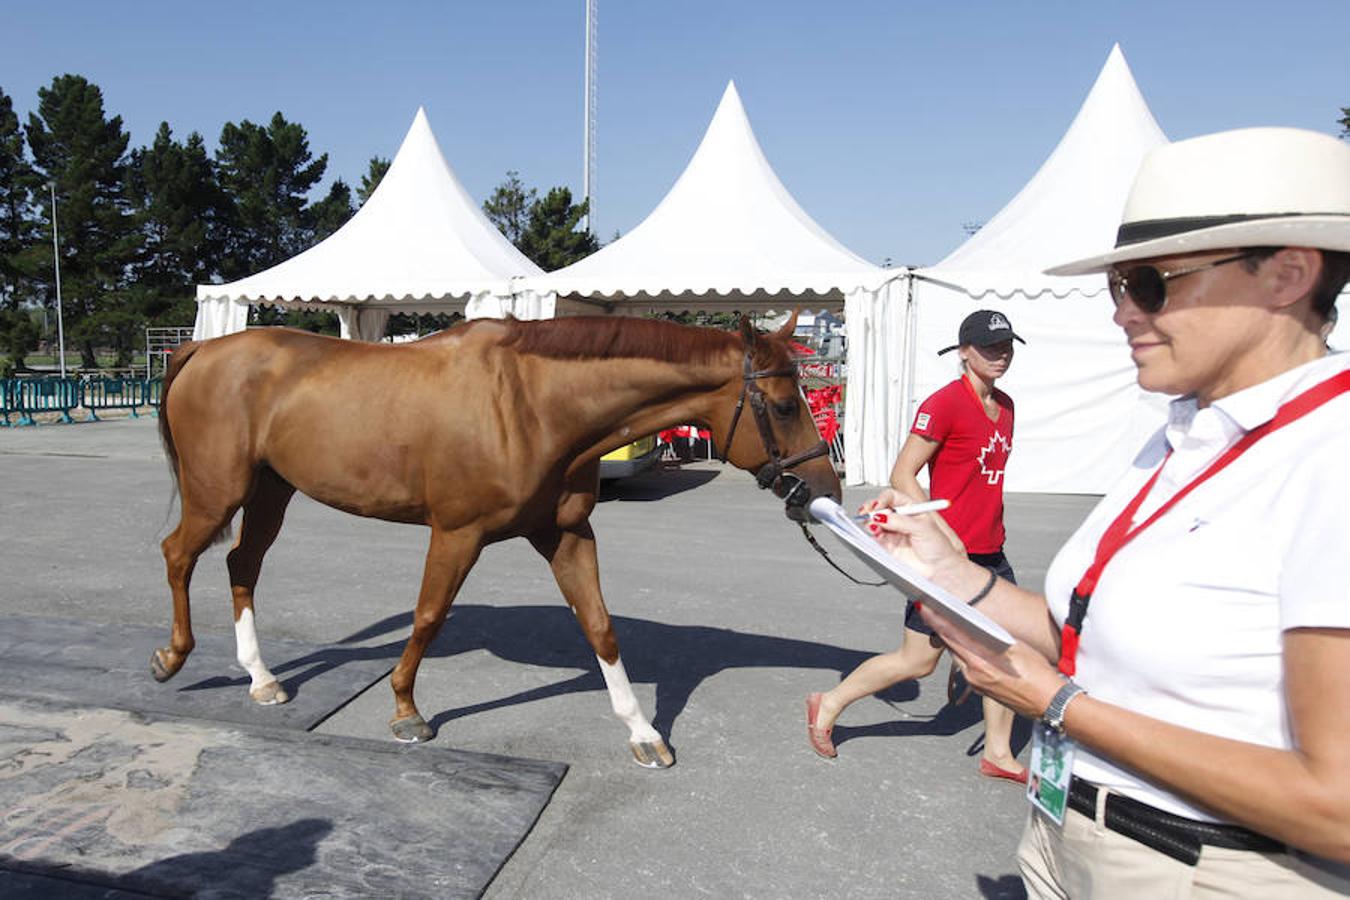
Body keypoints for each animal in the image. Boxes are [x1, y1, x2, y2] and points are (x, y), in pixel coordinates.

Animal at [153, 315, 837, 766]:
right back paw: (173, 658)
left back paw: (261, 679)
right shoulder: (458, 533)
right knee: (179, 554)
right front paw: (407, 712)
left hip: (271, 490)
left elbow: (600, 627)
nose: (821, 488)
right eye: (782, 405)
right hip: (218, 491)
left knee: (242, 564)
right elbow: (429, 615)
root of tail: (203, 348)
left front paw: (642, 731)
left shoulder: (566, 533)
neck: (531, 403)